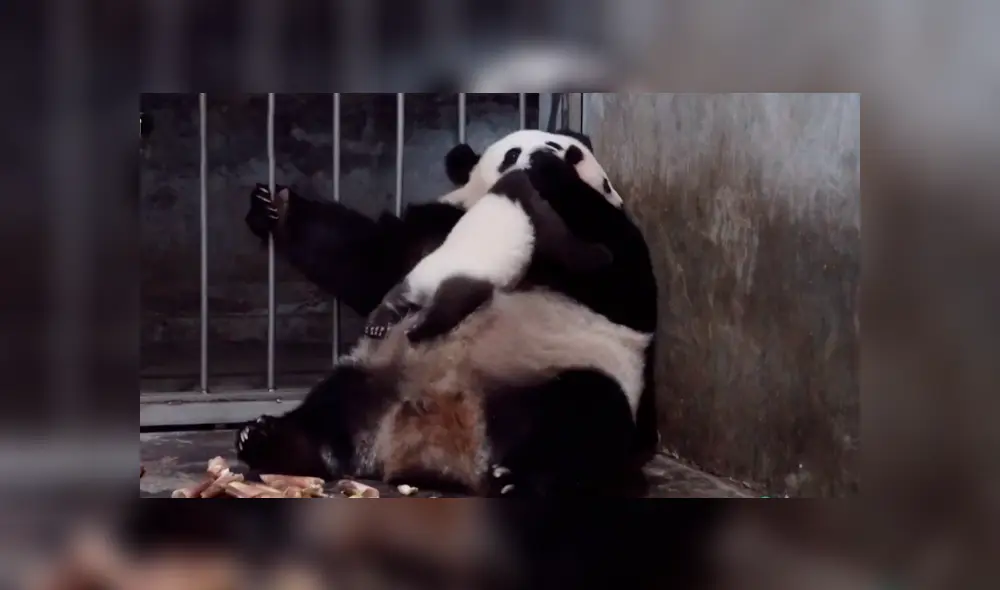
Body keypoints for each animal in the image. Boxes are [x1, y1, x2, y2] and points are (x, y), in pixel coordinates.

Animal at [239, 130, 660, 496]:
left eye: (573, 153)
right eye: (511, 153)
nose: (539, 157)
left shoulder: (609, 253)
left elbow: (621, 278)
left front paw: (553, 176)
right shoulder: (435, 228)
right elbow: (367, 260)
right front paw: (276, 207)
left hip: (555, 371)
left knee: (584, 422)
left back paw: (522, 481)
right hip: (377, 372)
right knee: (333, 407)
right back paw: (268, 439)